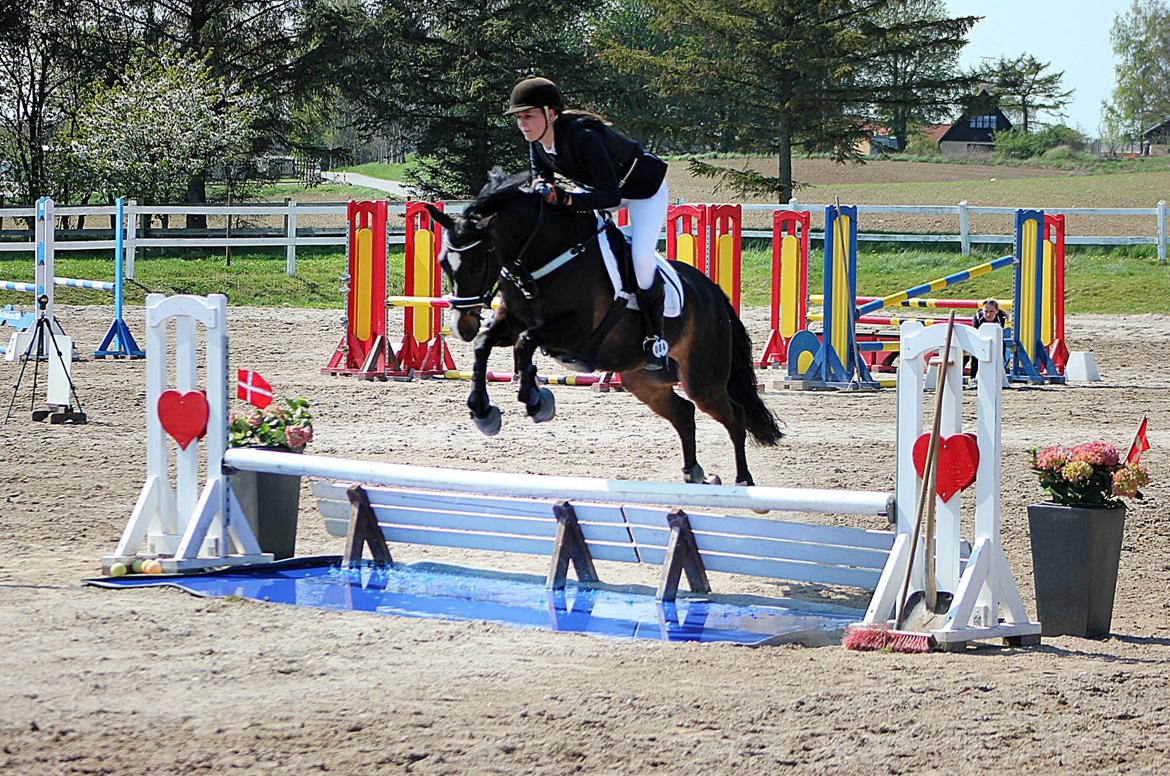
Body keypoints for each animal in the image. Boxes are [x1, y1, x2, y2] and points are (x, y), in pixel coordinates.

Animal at [424, 173, 782, 486]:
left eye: (476, 265)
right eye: (442, 264)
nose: (462, 326)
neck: (541, 254)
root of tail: (713, 292)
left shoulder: (574, 332)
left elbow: (525, 343)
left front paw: (536, 401)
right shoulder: (512, 321)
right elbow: (485, 344)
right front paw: (483, 411)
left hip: (702, 378)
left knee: (733, 415)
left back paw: (743, 479)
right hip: (643, 381)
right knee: (684, 412)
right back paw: (694, 473)